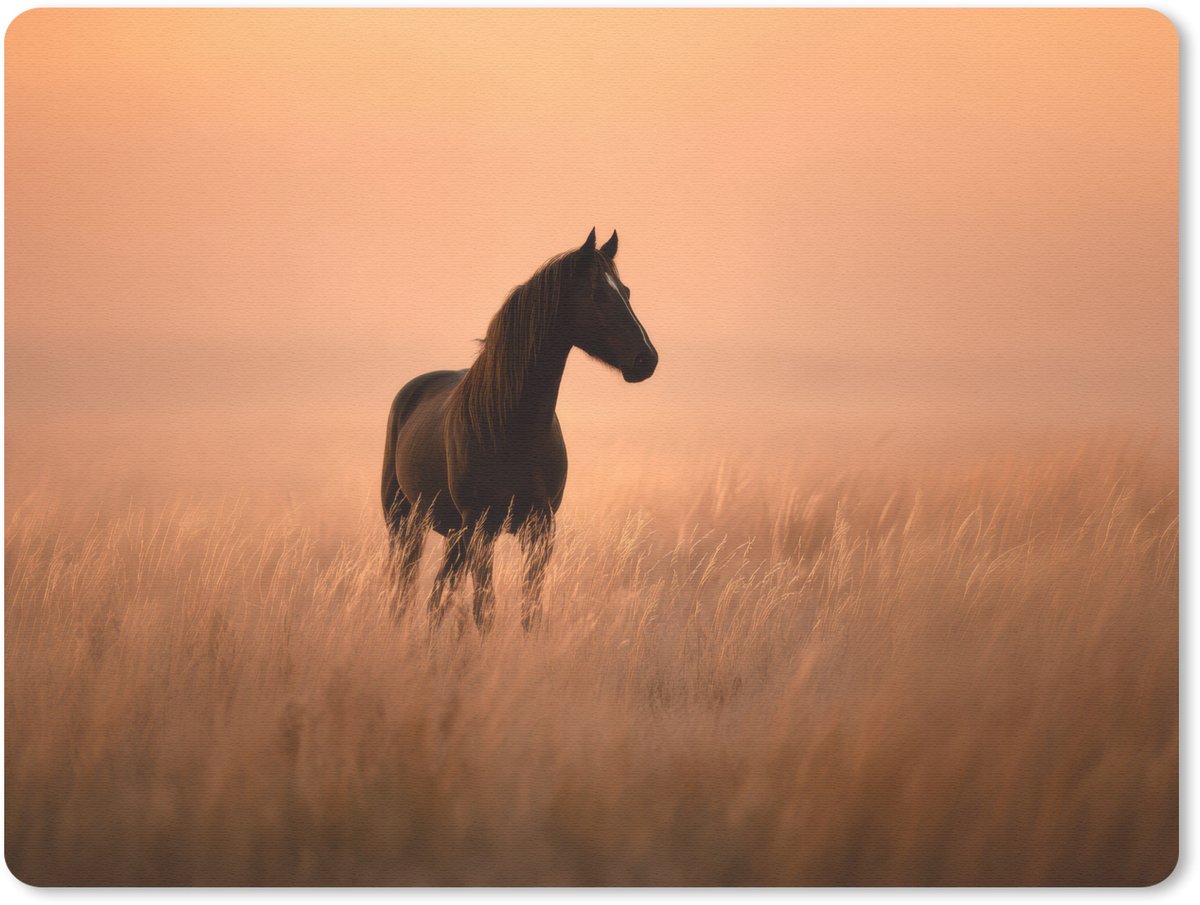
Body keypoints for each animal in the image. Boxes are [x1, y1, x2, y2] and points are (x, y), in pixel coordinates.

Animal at [380, 228, 658, 633]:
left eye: (626, 291)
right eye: (598, 293)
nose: (646, 359)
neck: (513, 428)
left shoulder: (539, 529)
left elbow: (530, 610)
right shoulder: (481, 529)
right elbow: (485, 610)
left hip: (453, 534)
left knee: (437, 597)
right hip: (406, 523)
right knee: (406, 591)